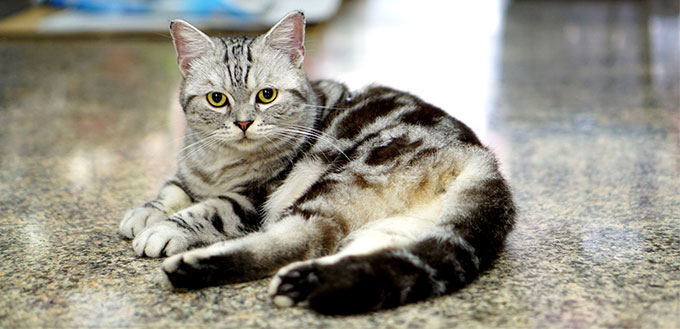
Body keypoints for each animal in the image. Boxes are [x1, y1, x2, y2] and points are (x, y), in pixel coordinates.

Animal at [121, 11, 516, 314]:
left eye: (266, 95)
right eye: (217, 99)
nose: (244, 123)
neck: (221, 161)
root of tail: (482, 159)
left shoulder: (253, 196)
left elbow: (207, 209)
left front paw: (165, 228)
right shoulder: (190, 173)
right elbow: (173, 188)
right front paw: (146, 212)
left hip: (334, 182)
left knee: (301, 238)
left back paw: (193, 268)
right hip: (397, 231)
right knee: (361, 256)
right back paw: (304, 283)